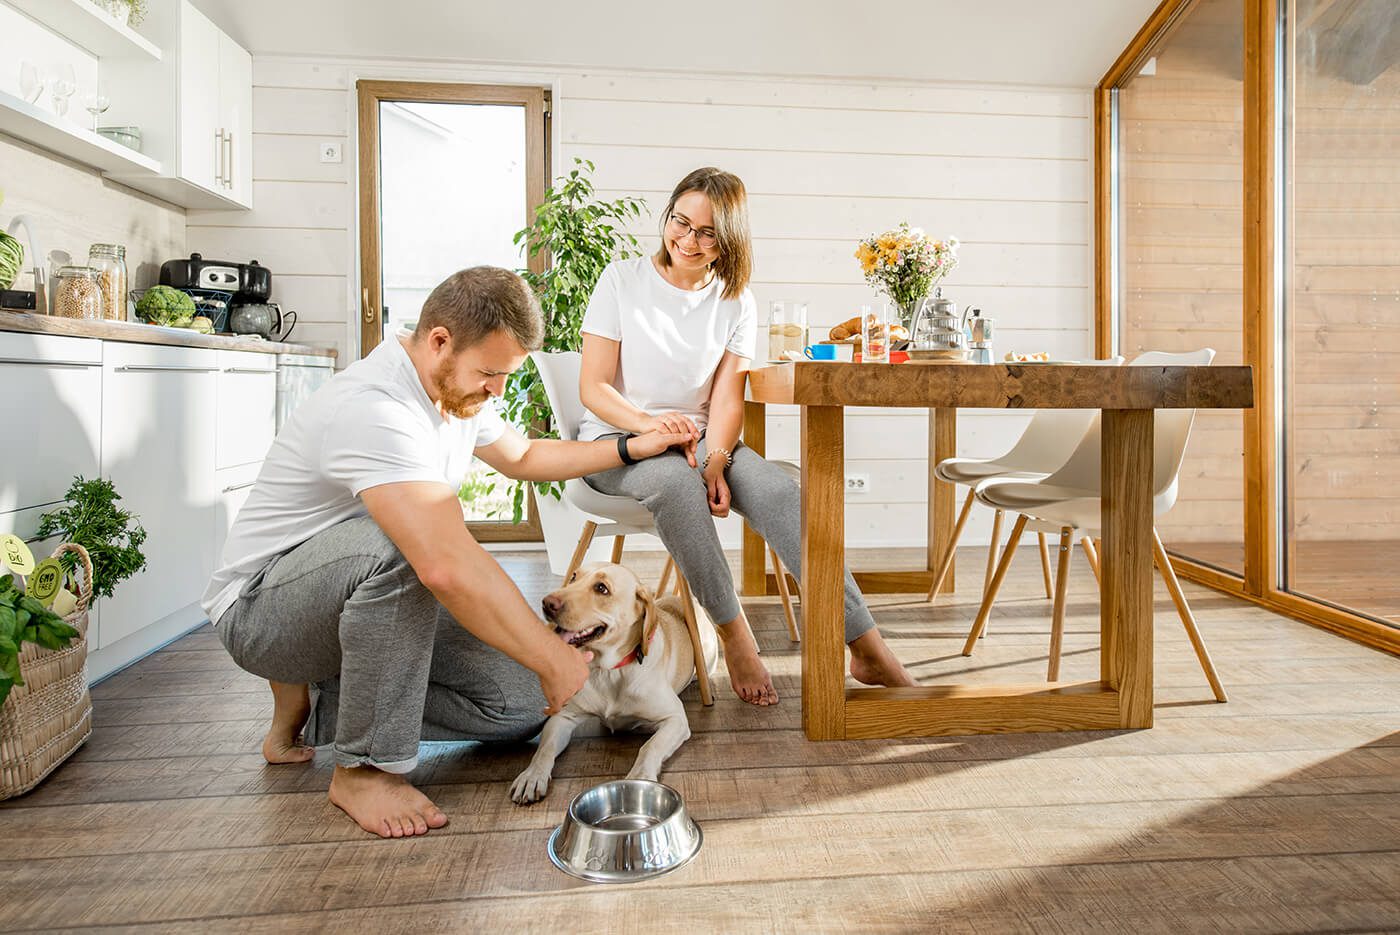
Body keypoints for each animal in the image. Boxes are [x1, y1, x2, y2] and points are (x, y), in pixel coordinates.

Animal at [509, 562, 716, 806]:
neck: (608, 671)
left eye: (602, 588)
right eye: (573, 577)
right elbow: (544, 749)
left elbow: (650, 746)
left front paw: (640, 775)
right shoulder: (562, 717)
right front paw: (532, 775)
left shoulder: (675, 719)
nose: (547, 603)